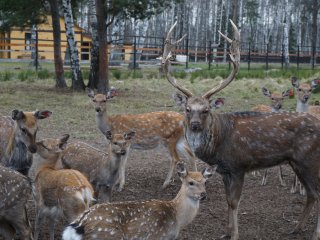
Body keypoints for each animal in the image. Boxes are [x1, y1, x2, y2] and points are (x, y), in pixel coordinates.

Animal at [61, 161, 216, 240]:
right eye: (191, 182)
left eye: (205, 182)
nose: (203, 194)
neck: (176, 218)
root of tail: (78, 225)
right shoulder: (156, 237)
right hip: (108, 236)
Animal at [162, 20, 320, 240]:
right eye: (187, 109)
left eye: (206, 109)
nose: (194, 124)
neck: (218, 143)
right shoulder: (224, 170)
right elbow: (228, 201)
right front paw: (226, 232)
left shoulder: (239, 166)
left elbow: (235, 202)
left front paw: (235, 234)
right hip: (297, 162)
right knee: (312, 194)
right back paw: (295, 228)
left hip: (309, 158)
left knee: (317, 192)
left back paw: (314, 233)